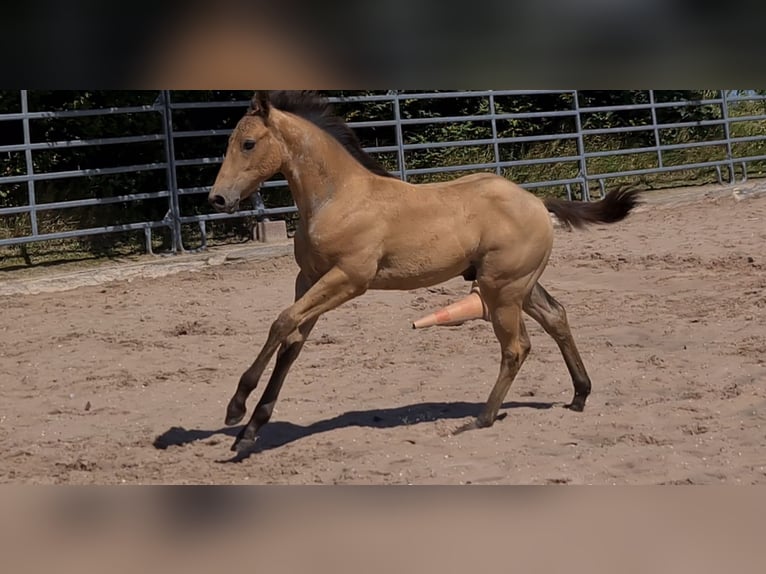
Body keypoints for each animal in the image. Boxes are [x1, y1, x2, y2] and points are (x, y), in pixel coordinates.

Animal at [208, 91, 640, 454]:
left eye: (248, 143)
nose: (217, 198)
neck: (339, 199)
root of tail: (537, 201)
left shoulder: (349, 279)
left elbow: (282, 323)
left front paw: (236, 408)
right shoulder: (309, 278)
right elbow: (291, 343)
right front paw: (250, 430)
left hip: (501, 289)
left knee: (517, 347)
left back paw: (481, 419)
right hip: (518, 285)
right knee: (556, 317)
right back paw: (580, 395)